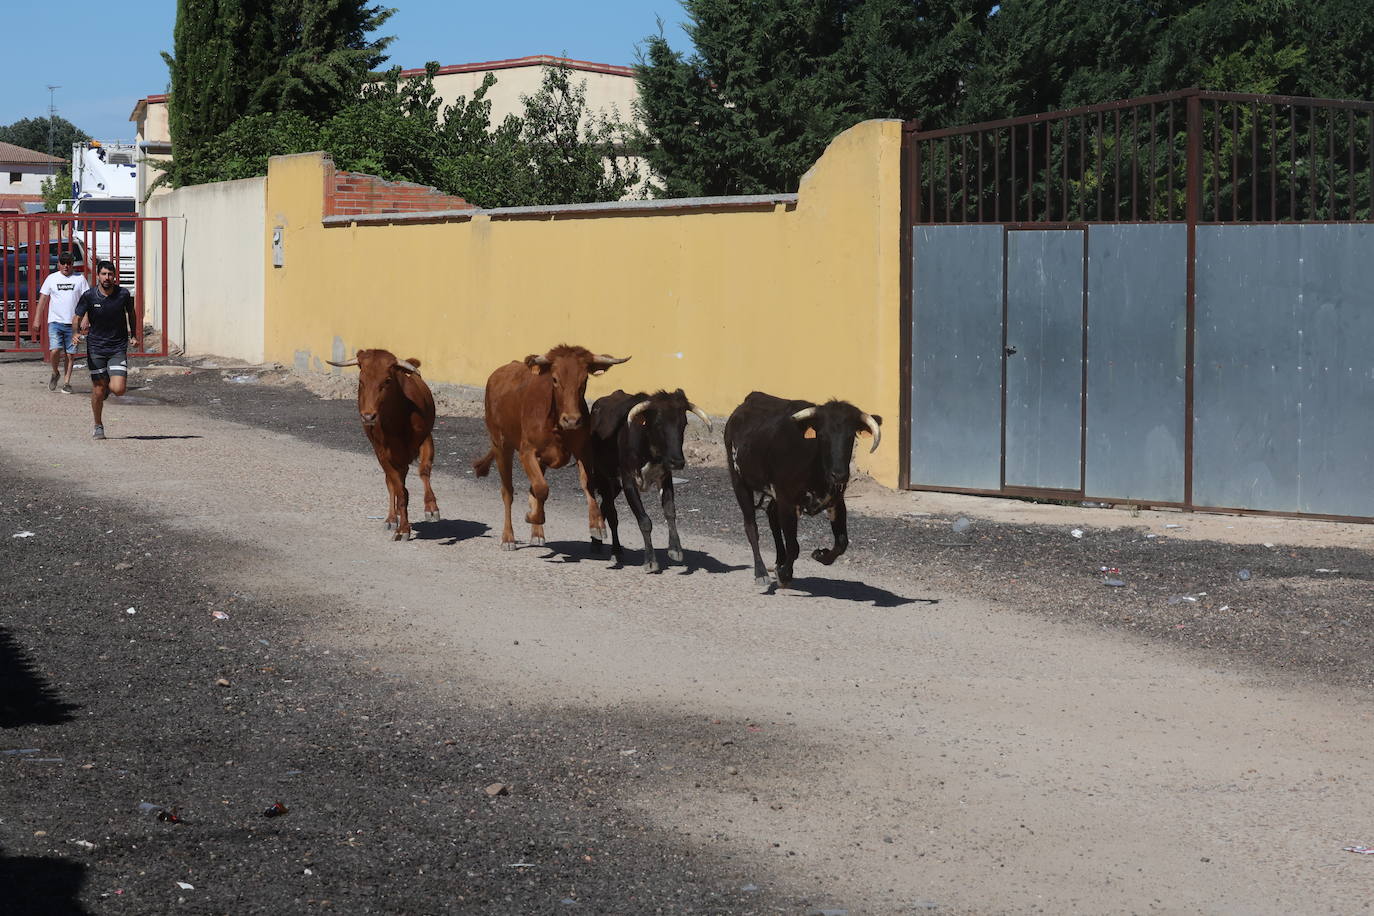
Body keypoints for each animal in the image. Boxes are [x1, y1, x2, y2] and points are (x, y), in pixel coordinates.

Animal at [324, 348, 436, 538]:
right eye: (361, 380)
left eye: (387, 380)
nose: (368, 416)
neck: (397, 420)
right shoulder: (381, 452)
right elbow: (397, 487)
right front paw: (403, 528)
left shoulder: (426, 438)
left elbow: (424, 470)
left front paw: (431, 508)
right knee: (392, 484)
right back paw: (392, 518)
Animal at [469, 347, 626, 552]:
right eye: (555, 379)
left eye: (584, 380)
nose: (572, 420)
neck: (555, 422)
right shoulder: (527, 452)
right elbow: (542, 489)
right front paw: (532, 516)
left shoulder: (584, 450)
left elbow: (586, 484)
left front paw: (597, 525)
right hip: (501, 445)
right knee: (508, 492)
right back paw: (508, 538)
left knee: (531, 489)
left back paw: (537, 534)